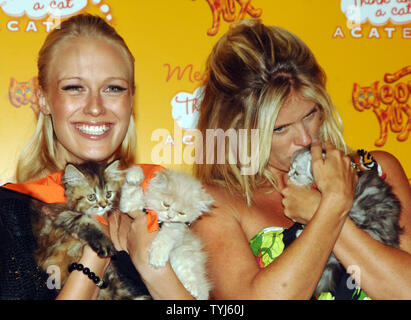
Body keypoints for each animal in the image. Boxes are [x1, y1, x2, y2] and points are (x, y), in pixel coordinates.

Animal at [31, 161, 146, 298]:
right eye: (91, 197)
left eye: (108, 194)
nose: (104, 205)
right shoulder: (61, 214)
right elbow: (86, 221)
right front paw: (105, 244)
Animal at [120, 168, 214, 300]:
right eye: (166, 204)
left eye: (181, 213)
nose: (170, 216)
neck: (159, 221)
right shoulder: (129, 204)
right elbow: (131, 190)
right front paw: (135, 175)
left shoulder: (176, 229)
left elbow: (164, 239)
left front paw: (157, 257)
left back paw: (194, 289)